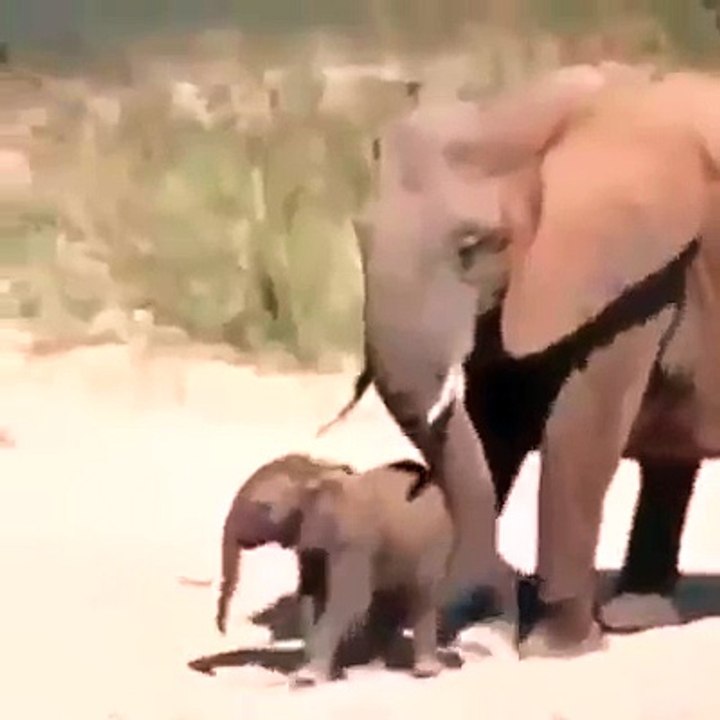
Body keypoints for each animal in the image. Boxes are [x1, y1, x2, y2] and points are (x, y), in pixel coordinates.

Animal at [332, 63, 720, 659]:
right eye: (359, 233)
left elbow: (577, 435)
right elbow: (496, 422)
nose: (506, 596)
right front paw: (474, 624)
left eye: (474, 245)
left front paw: (556, 647)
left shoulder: (639, 275)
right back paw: (636, 616)